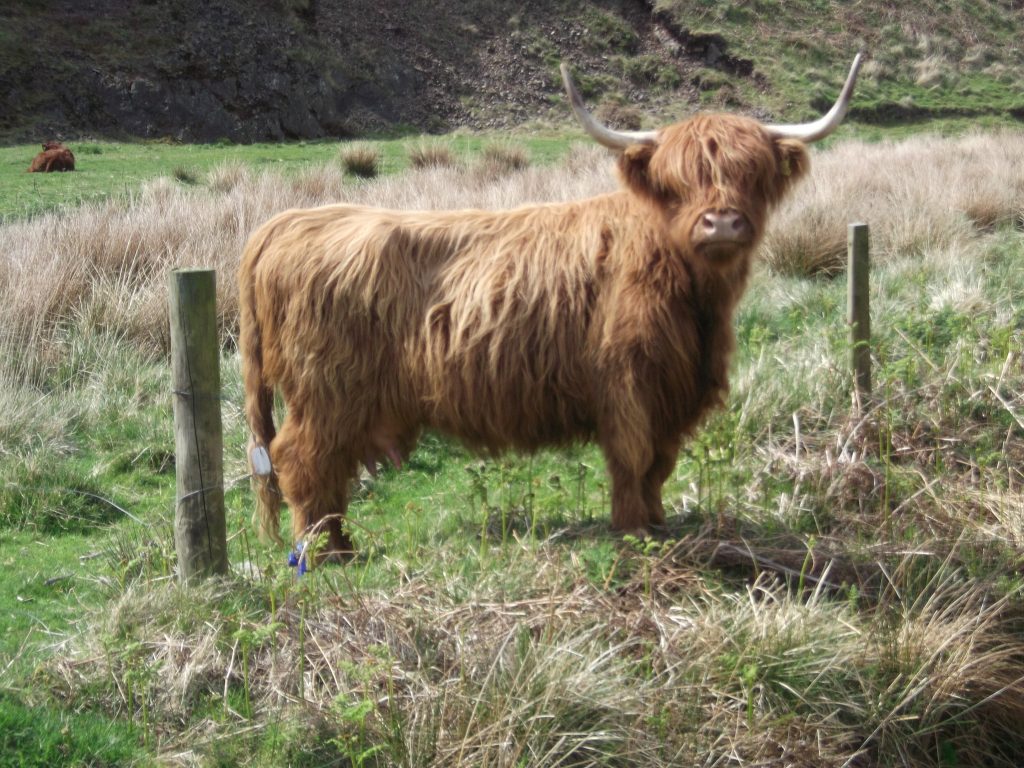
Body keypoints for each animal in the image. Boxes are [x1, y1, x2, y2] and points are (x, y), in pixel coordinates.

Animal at [239, 55, 863, 563]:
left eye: (751, 173)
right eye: (676, 181)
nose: (723, 222)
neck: (693, 294)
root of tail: (286, 222)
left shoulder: (675, 390)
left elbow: (659, 465)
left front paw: (659, 524)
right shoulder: (627, 382)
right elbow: (633, 458)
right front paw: (633, 531)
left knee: (326, 470)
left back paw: (341, 544)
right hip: (327, 391)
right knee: (302, 461)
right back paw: (325, 553)